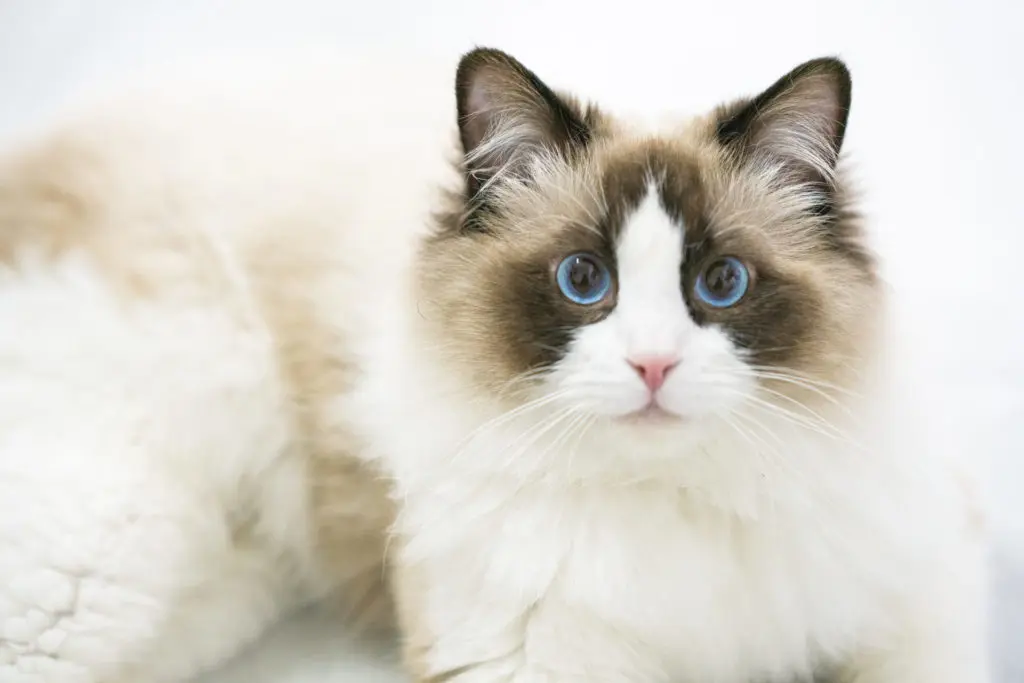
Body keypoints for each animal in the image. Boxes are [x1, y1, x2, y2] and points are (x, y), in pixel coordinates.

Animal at [0, 48, 991, 683]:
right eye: (583, 279)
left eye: (722, 282)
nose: (654, 365)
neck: (676, 502)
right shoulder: (523, 656)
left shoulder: (917, 595)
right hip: (102, 560)